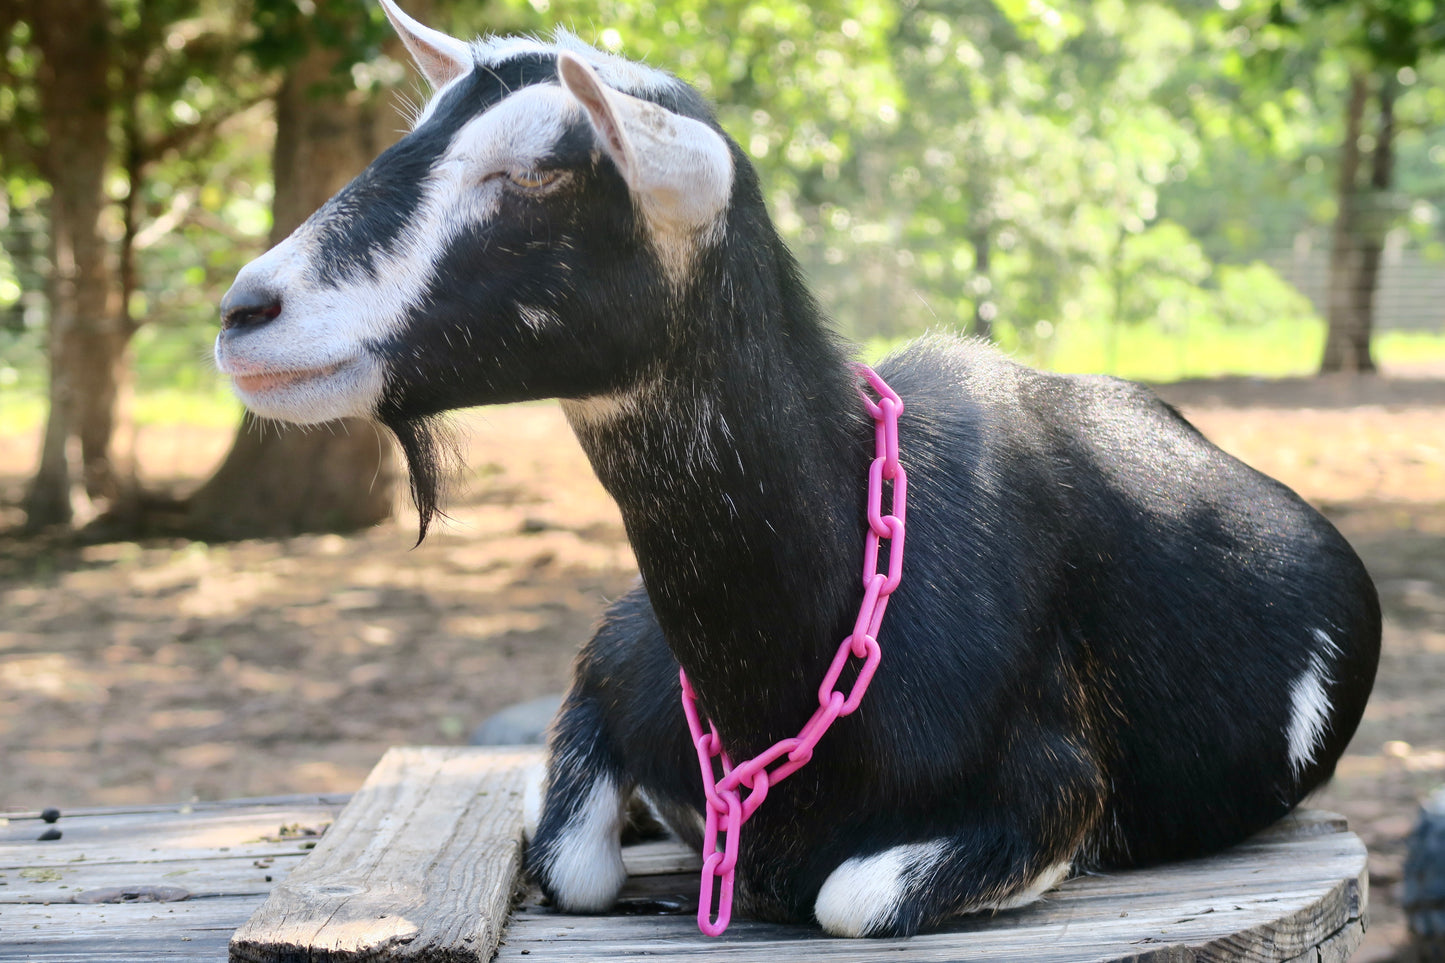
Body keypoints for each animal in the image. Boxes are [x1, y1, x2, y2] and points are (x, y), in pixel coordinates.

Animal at [213, 0, 1375, 931]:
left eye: (538, 170)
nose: (243, 311)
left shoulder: (1050, 786)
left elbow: (851, 895)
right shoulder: (610, 669)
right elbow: (571, 857)